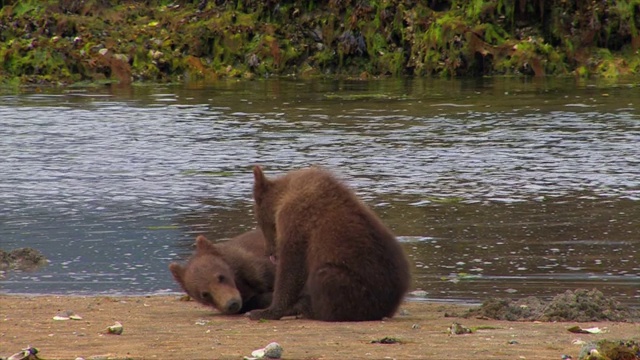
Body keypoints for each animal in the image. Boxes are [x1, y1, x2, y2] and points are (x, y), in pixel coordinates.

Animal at [250, 166, 410, 320]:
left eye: (262, 223)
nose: (269, 253)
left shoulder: (297, 223)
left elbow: (291, 269)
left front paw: (265, 311)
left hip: (364, 290)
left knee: (325, 277)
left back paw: (309, 309)